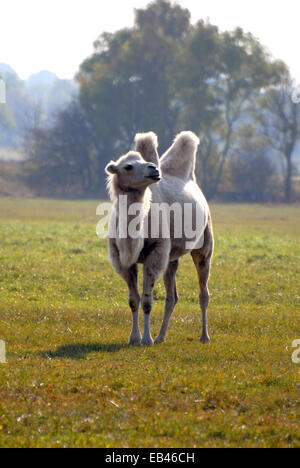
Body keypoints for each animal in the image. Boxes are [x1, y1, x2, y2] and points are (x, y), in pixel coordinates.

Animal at [105, 131, 213, 344]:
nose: (153, 169)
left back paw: (204, 336)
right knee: (172, 296)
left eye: (144, 161)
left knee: (203, 292)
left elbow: (147, 301)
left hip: (204, 244)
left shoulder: (154, 254)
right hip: (171, 257)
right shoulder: (122, 260)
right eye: (128, 166)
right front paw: (134, 338)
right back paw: (161, 336)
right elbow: (133, 300)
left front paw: (146, 340)